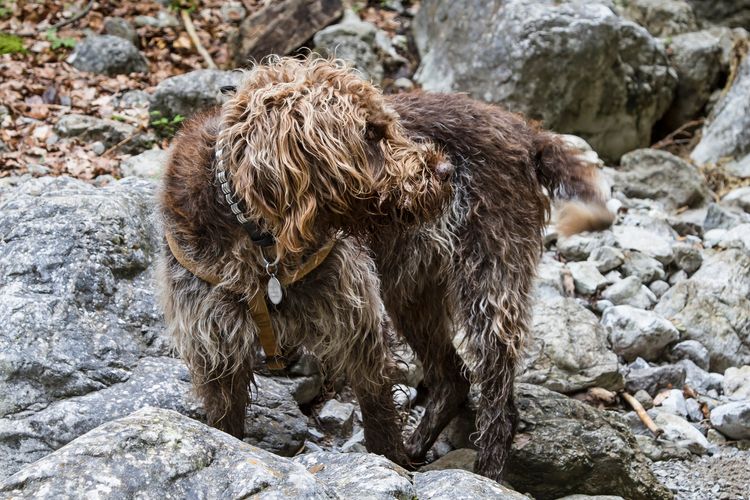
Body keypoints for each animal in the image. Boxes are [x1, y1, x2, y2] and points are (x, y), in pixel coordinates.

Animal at [156, 56, 612, 482]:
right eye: (371, 133)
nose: (448, 171)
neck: (261, 239)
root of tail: (526, 133)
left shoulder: (359, 328)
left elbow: (378, 419)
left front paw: (388, 464)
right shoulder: (217, 351)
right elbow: (225, 427)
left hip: (489, 285)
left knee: (498, 401)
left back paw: (487, 473)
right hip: (411, 294)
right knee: (453, 380)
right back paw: (421, 445)